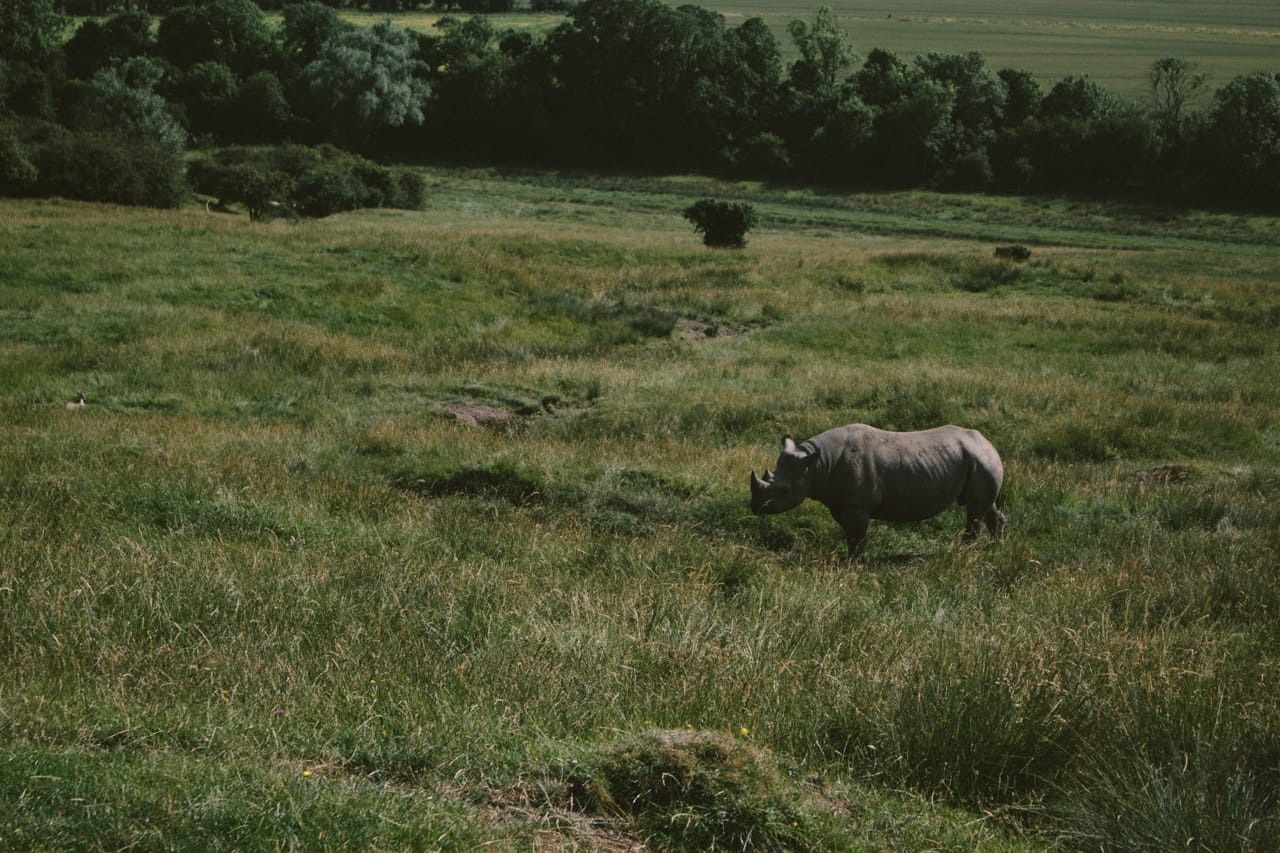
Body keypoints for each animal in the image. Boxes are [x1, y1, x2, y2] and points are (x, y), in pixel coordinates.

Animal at [747, 422, 1008, 558]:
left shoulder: (856, 506)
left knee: (974, 510)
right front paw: (853, 560)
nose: (755, 507)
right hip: (979, 461)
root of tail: (989, 443)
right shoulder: (840, 501)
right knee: (986, 507)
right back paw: (996, 548)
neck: (815, 466)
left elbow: (857, 534)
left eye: (784, 492)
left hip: (981, 460)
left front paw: (853, 564)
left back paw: (964, 553)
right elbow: (851, 534)